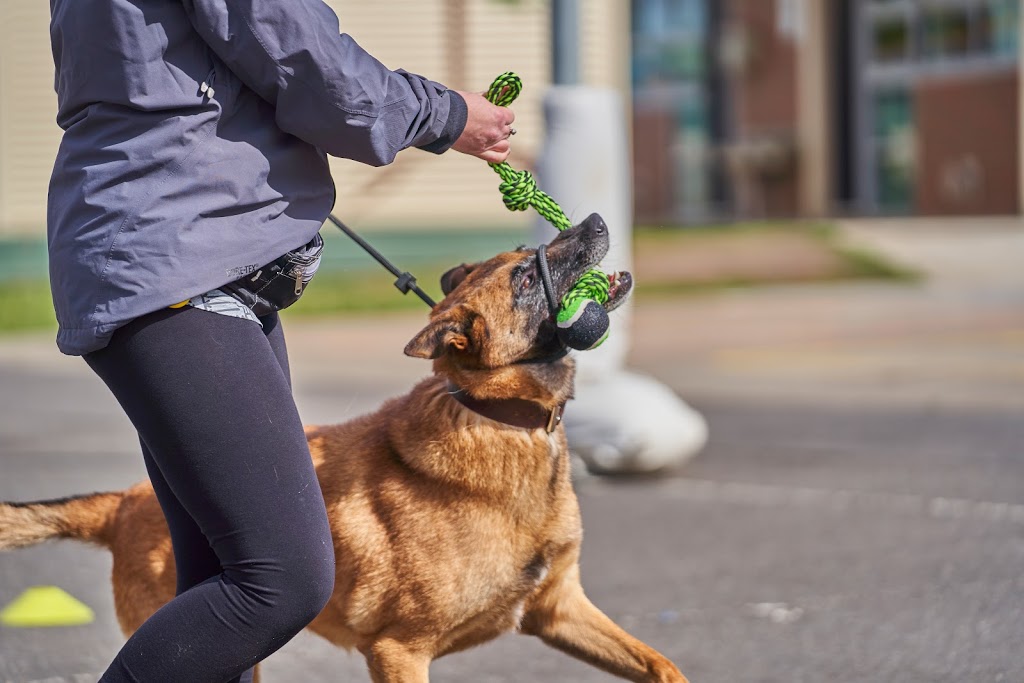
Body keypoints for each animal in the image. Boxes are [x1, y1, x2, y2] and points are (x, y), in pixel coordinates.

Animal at [2, 210, 688, 679]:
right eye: (524, 276)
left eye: (525, 253)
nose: (595, 220)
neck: (497, 416)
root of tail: (123, 503)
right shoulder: (398, 650)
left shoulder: (559, 610)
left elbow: (663, 665)